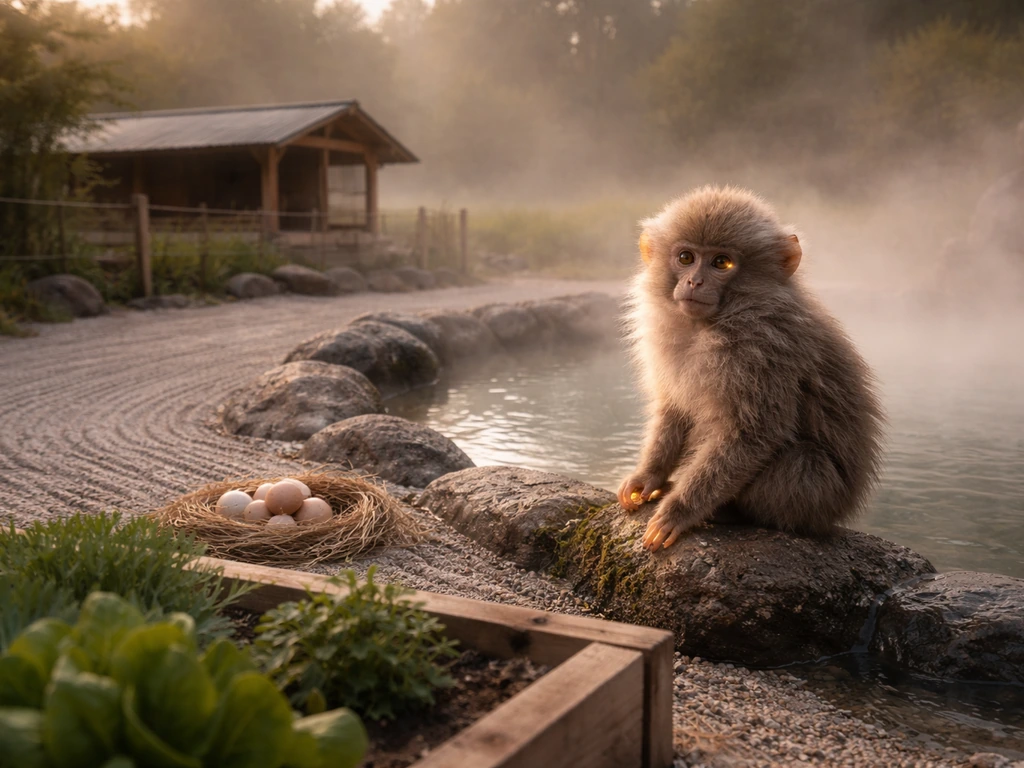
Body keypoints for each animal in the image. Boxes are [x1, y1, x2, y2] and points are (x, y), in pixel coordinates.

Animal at [617, 186, 885, 552]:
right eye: (686, 257)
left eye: (721, 262)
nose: (694, 282)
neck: (711, 324)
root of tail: (837, 512)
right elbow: (674, 408)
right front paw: (648, 477)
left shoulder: (761, 351)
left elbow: (754, 433)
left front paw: (679, 510)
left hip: (819, 497)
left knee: (802, 460)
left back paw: (729, 512)